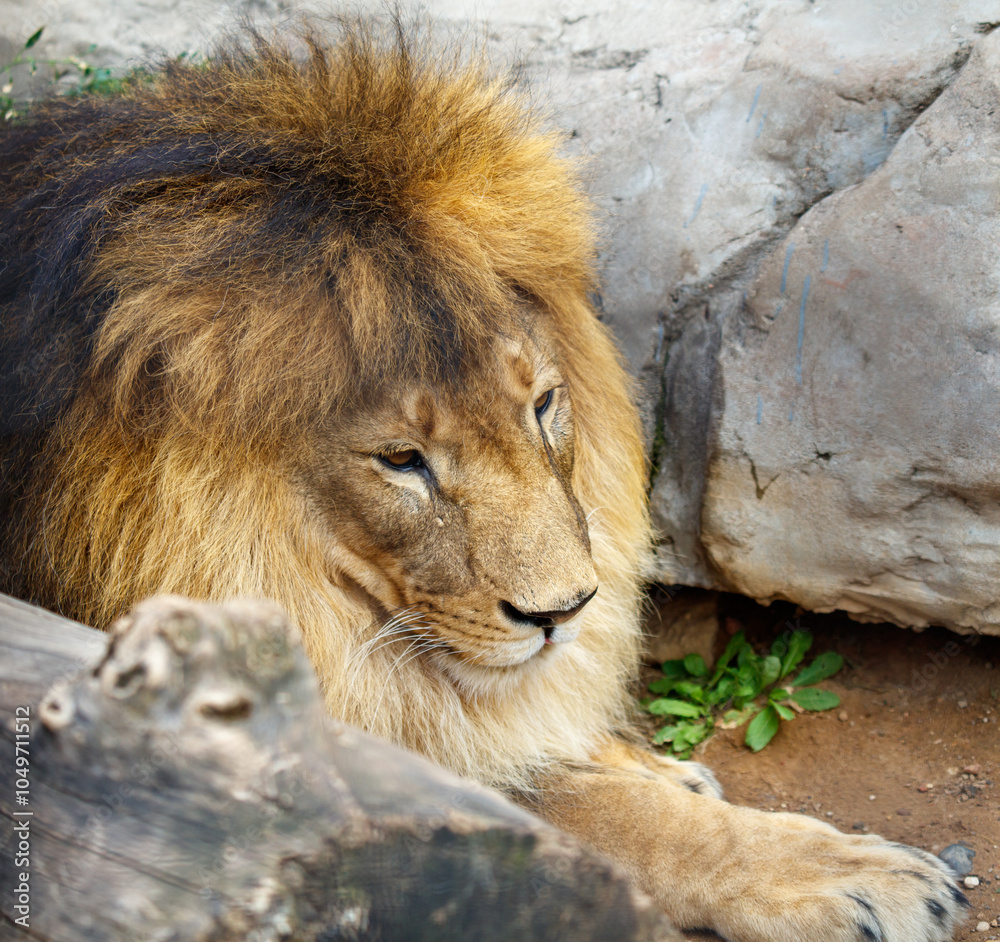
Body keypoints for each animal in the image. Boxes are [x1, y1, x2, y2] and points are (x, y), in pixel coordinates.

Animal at [0, 19, 967, 941]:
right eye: (402, 461)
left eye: (541, 407)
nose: (564, 612)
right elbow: (571, 812)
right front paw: (849, 876)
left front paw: (643, 761)